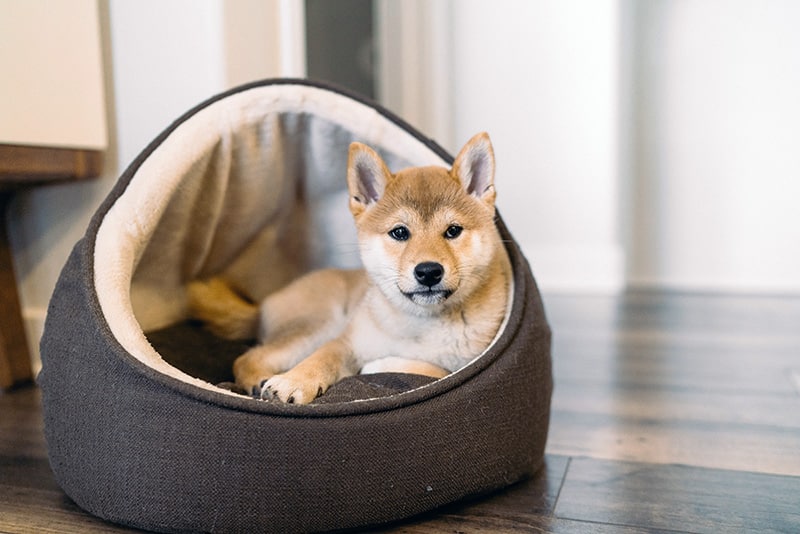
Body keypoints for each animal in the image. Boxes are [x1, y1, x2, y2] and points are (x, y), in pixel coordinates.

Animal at [188, 132, 510, 404]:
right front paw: (293, 382)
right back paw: (259, 380)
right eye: (400, 233)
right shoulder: (344, 341)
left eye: (453, 231)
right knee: (248, 357)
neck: (419, 323)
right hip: (320, 323)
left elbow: (434, 369)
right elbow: (319, 360)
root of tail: (265, 302)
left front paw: (379, 364)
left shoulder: (466, 364)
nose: (428, 271)